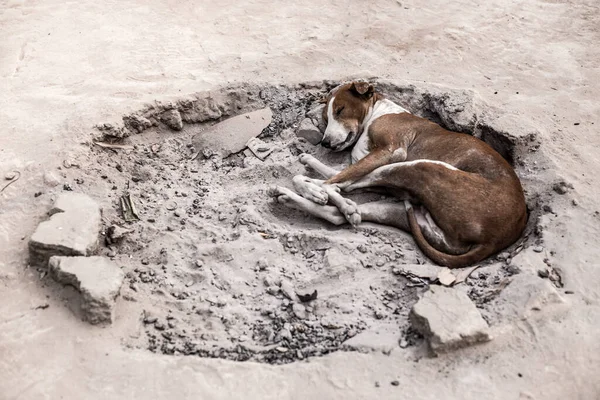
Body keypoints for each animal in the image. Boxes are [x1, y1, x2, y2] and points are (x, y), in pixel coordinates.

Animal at [272, 81, 524, 268]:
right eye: (325, 118)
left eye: (340, 110)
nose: (324, 143)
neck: (378, 113)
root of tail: (493, 240)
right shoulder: (368, 163)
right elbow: (337, 174)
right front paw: (308, 166)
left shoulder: (391, 151)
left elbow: (337, 179)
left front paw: (314, 188)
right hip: (408, 212)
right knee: (338, 212)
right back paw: (297, 198)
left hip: (417, 166)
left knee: (337, 190)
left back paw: (335, 201)